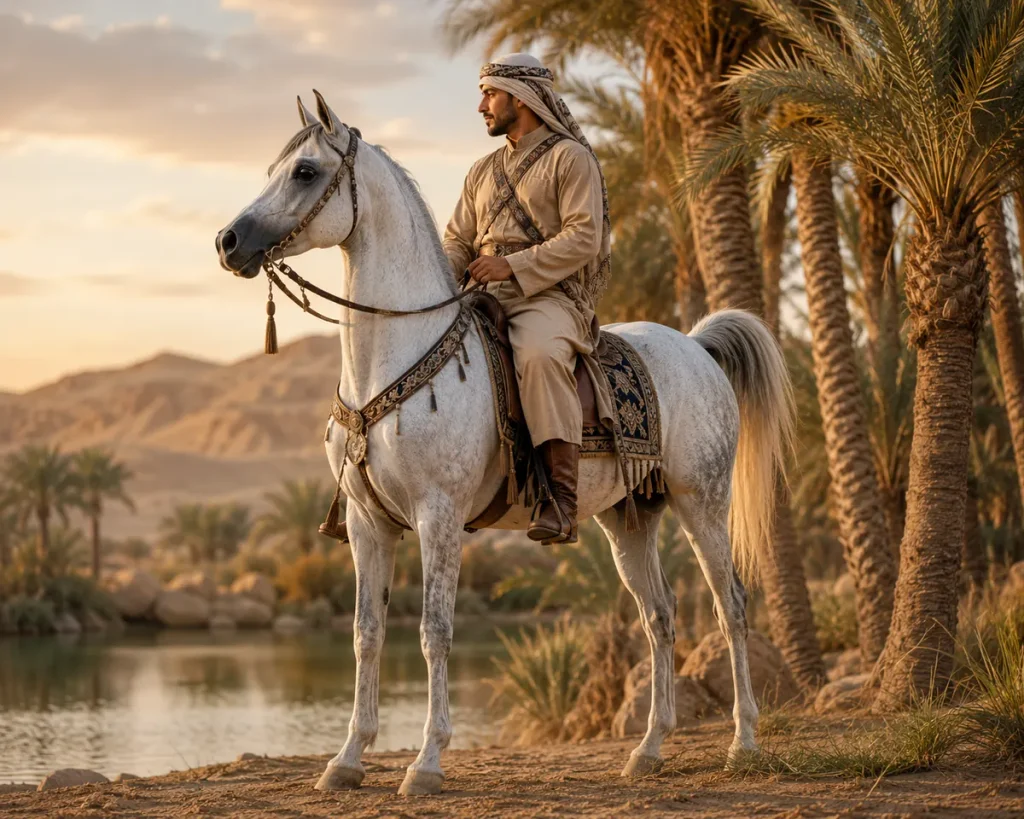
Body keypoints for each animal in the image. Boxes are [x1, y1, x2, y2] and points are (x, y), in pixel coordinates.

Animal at [215, 91, 793, 796]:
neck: (393, 356)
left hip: (703, 502)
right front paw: (347, 758)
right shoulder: (366, 522)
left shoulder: (437, 516)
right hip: (630, 521)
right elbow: (366, 634)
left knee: (730, 605)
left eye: (303, 171)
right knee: (660, 617)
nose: (229, 241)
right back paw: (649, 748)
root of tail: (698, 347)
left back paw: (743, 741)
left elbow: (434, 632)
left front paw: (426, 762)